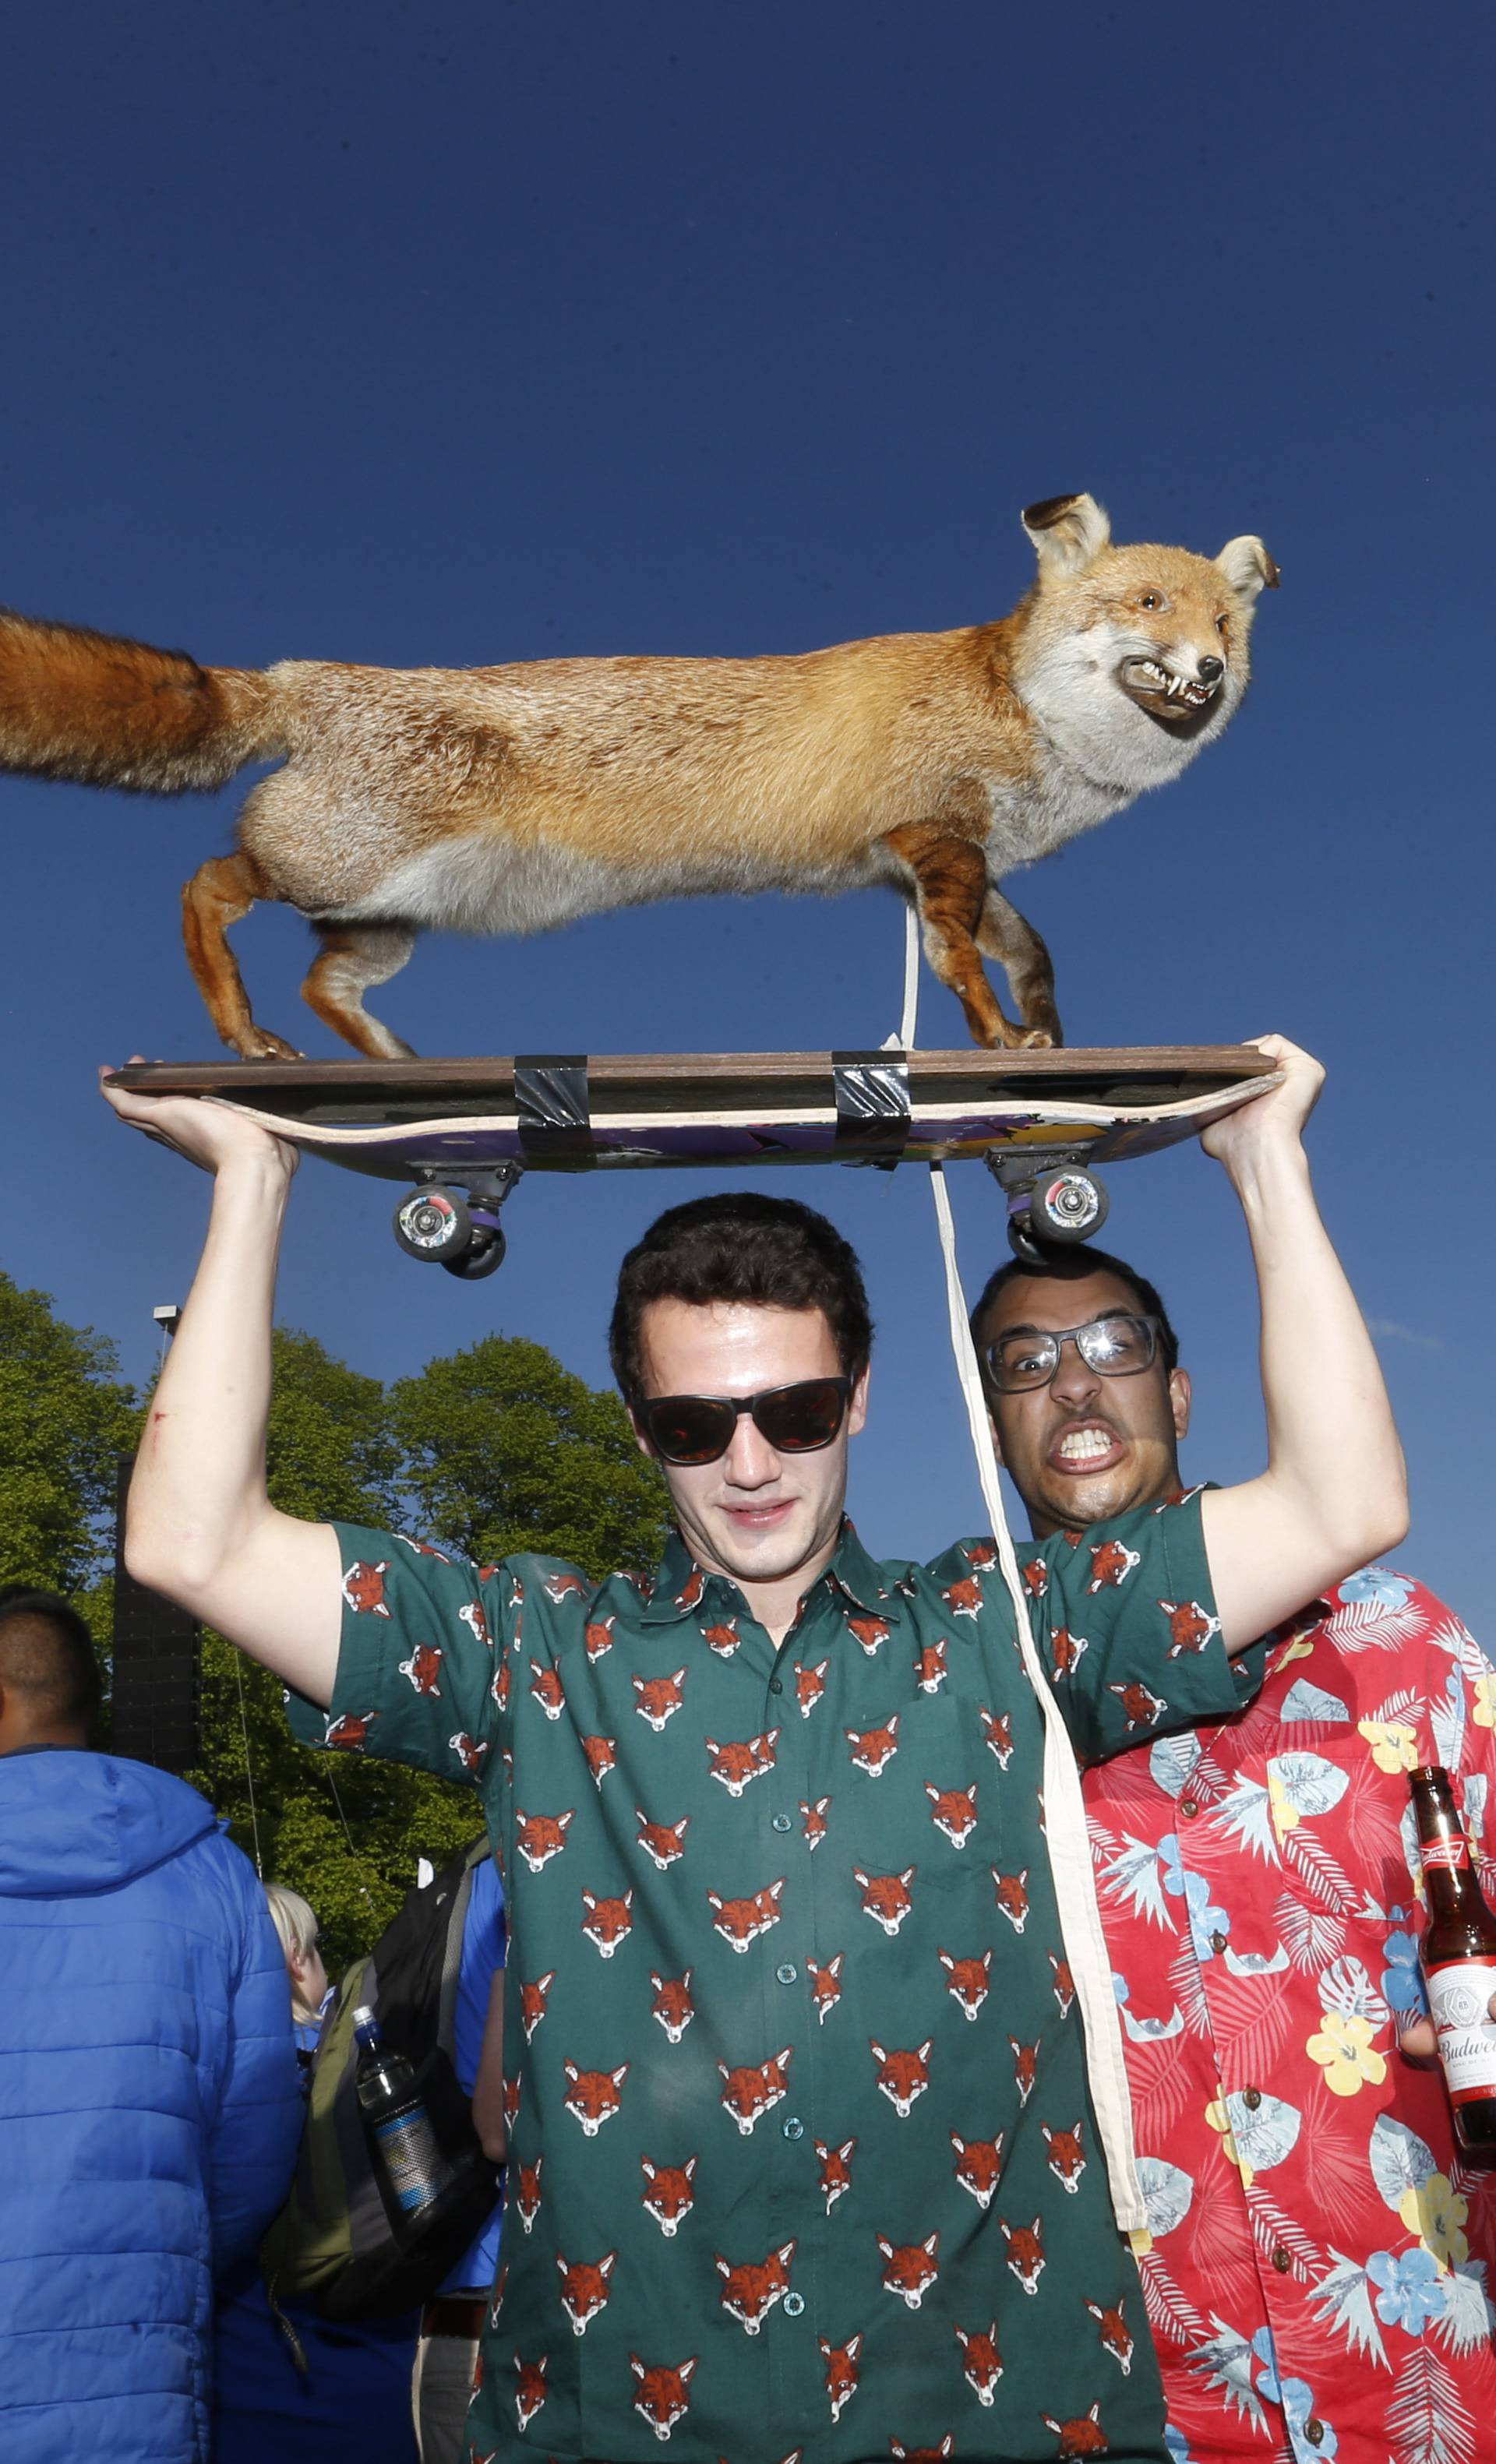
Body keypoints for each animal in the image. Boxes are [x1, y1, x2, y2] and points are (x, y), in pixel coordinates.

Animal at [0, 492, 1272, 1059]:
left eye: (1224, 622)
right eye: (1145, 604)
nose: (1209, 672)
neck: (1025, 714)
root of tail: (308, 673)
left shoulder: (946, 861)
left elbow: (1034, 951)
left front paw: (1049, 1030)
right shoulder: (934, 842)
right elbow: (964, 965)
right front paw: (1003, 1043)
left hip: (391, 919)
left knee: (326, 982)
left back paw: (390, 1060)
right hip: (334, 866)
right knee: (205, 886)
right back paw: (245, 1035)